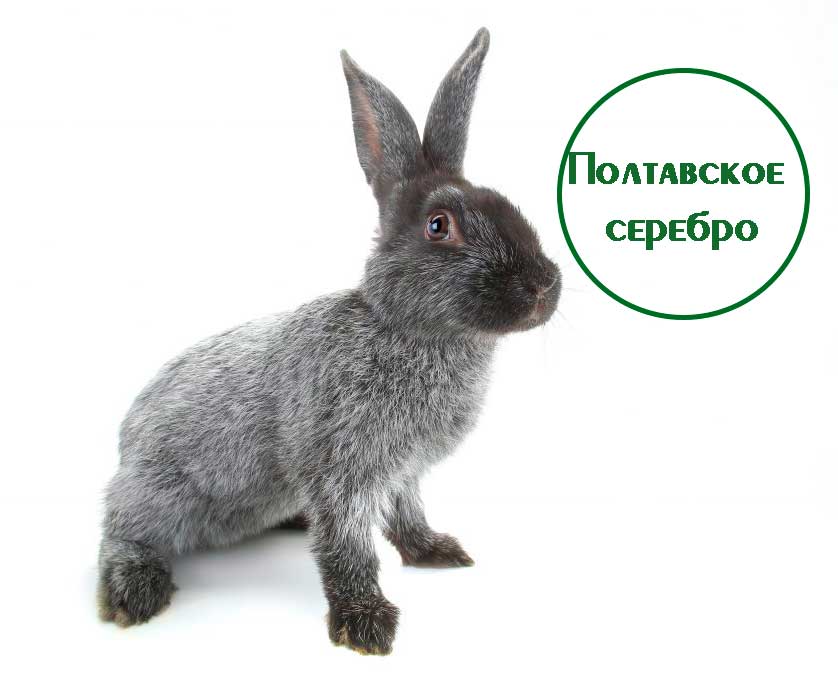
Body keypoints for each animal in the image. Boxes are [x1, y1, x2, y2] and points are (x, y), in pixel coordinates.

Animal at [97, 26, 560, 655]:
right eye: (439, 225)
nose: (543, 288)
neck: (403, 328)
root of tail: (125, 441)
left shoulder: (403, 470)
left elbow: (407, 513)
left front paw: (435, 552)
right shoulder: (343, 467)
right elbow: (348, 547)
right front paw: (366, 625)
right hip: (159, 490)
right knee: (121, 528)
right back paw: (133, 591)